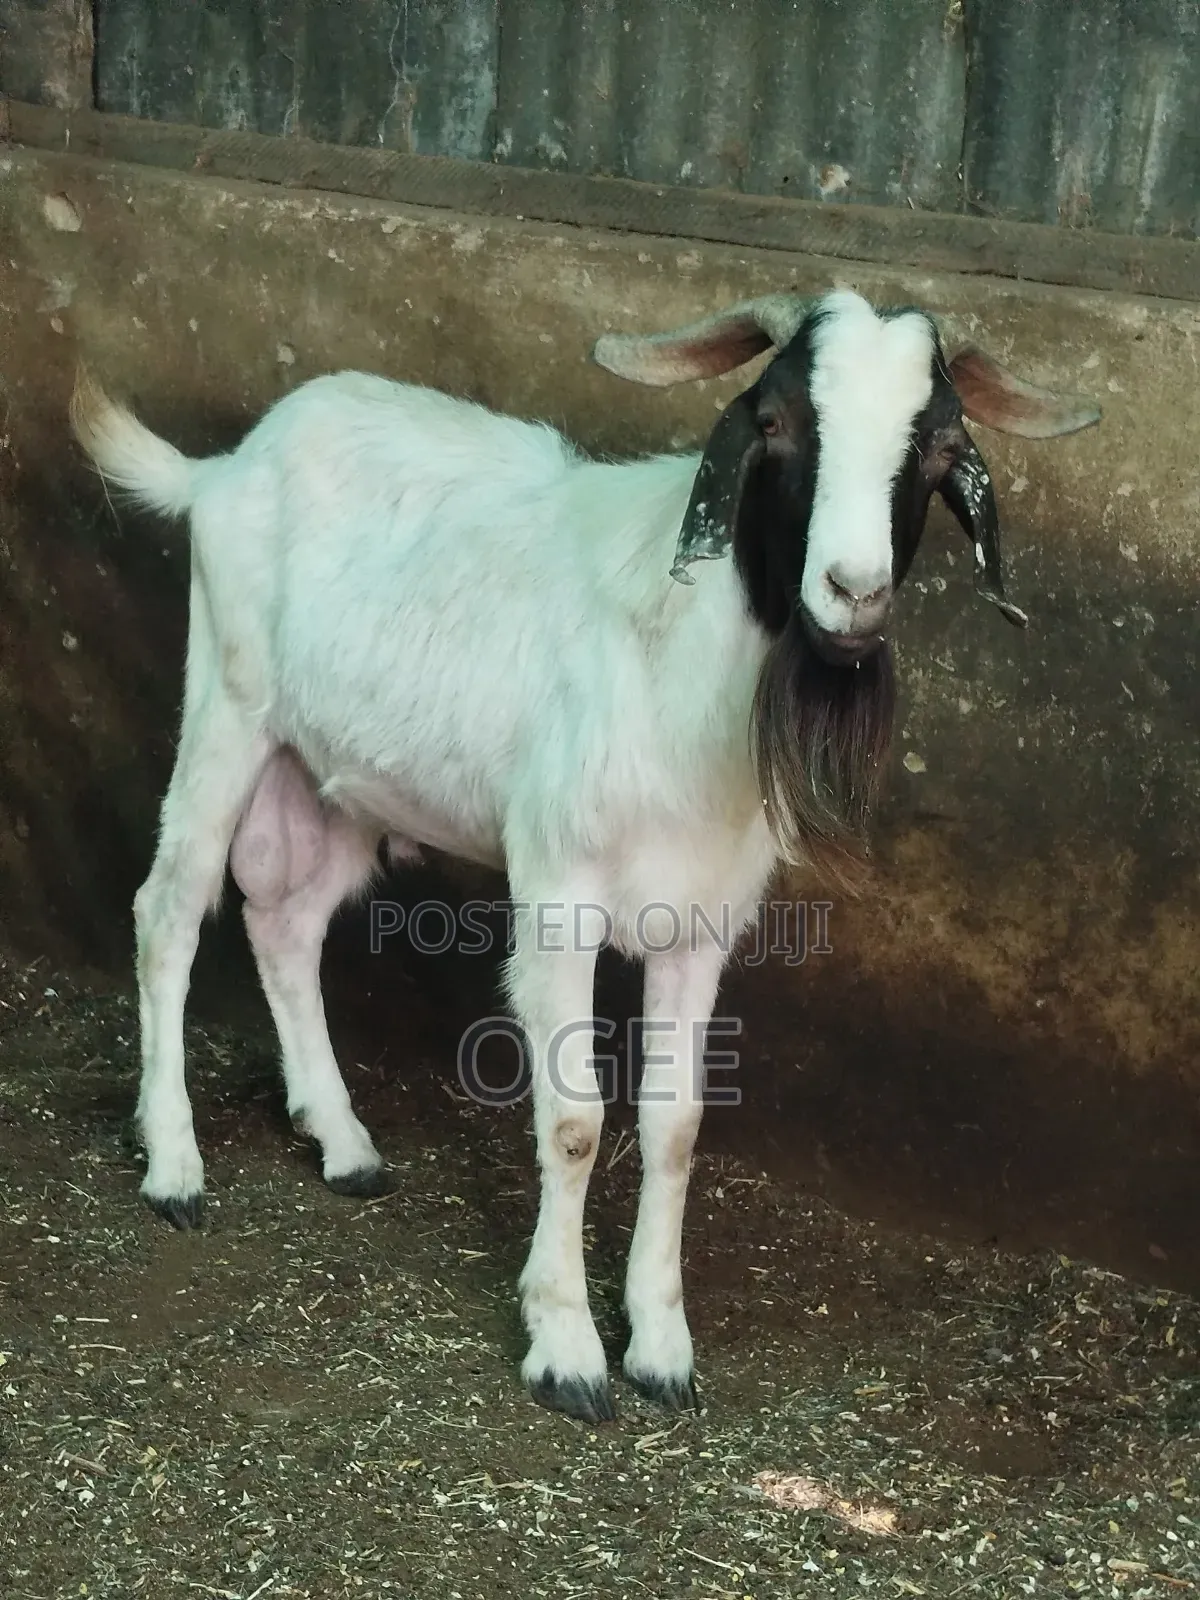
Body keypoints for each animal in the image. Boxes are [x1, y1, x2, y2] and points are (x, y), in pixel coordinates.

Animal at [70, 288, 1099, 1423]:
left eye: (940, 445)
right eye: (777, 420)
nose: (853, 594)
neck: (678, 659)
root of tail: (223, 468)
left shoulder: (703, 925)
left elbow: (677, 1124)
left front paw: (660, 1344)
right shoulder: (557, 896)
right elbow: (573, 1121)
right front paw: (565, 1345)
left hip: (344, 772)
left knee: (286, 924)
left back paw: (342, 1144)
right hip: (228, 705)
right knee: (167, 909)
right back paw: (173, 1164)